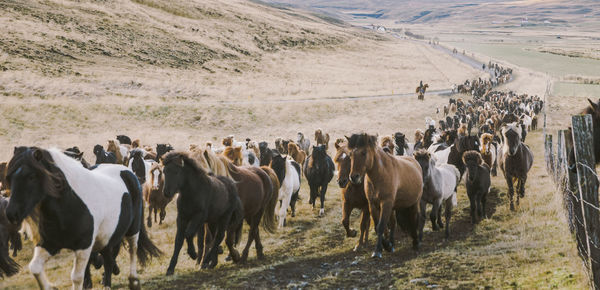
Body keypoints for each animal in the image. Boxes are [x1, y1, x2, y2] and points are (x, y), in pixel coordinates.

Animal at [5, 148, 161, 288]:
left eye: (31, 177)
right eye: (10, 178)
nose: (11, 213)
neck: (69, 204)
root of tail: (128, 173)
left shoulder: (84, 245)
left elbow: (77, 277)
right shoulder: (49, 244)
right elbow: (35, 268)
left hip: (132, 230)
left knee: (132, 249)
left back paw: (132, 280)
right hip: (108, 236)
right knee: (108, 259)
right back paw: (107, 282)